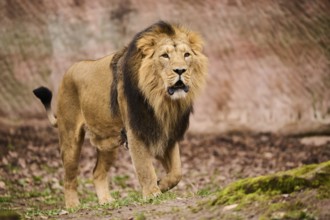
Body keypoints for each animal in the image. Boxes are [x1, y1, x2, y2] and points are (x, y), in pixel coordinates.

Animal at [34, 21, 209, 209]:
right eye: (165, 56)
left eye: (186, 55)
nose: (180, 70)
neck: (161, 100)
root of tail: (68, 71)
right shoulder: (136, 132)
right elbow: (145, 167)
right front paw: (152, 193)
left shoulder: (167, 132)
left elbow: (177, 172)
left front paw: (161, 185)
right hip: (70, 138)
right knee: (69, 177)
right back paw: (73, 206)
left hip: (108, 142)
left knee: (97, 172)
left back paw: (106, 201)